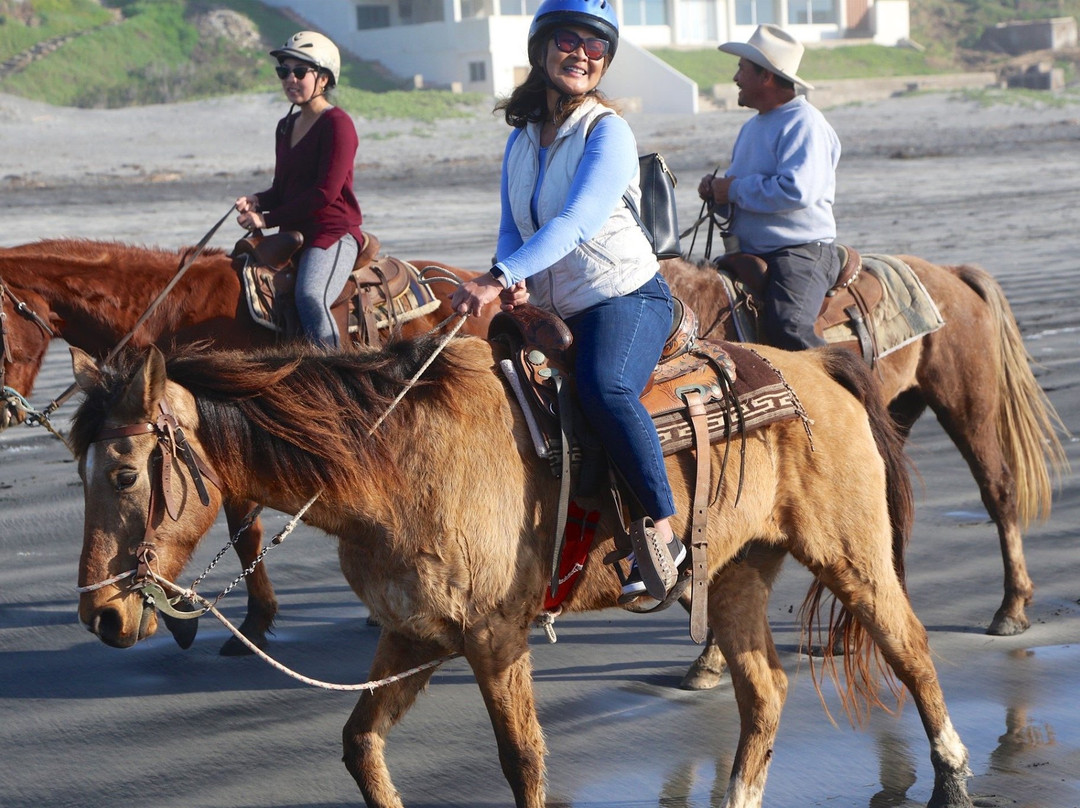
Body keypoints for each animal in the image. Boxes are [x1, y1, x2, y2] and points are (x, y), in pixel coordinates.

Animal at [69, 335, 974, 808]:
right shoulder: (414, 634)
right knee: (767, 694)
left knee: (912, 648)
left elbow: (523, 759)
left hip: (852, 554)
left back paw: (957, 773)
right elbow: (360, 744)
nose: (101, 616)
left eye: (123, 474)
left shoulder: (494, 637)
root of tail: (816, 364)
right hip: (737, 575)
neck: (395, 461)